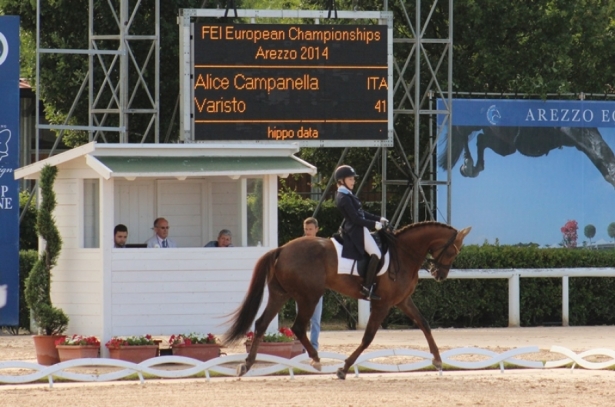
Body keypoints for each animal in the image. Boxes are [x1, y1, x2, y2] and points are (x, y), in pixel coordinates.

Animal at [225, 222, 472, 380]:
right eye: (453, 251)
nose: (439, 275)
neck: (403, 253)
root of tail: (282, 248)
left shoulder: (402, 301)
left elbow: (424, 324)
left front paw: (438, 360)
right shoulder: (382, 304)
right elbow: (368, 337)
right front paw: (343, 368)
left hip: (281, 294)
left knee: (261, 324)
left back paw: (246, 365)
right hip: (309, 296)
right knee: (298, 327)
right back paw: (316, 359)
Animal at [438, 126, 615, 188]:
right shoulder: (575, 130)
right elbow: (600, 152)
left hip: (505, 144)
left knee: (481, 139)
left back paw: (475, 167)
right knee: (463, 132)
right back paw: (468, 165)